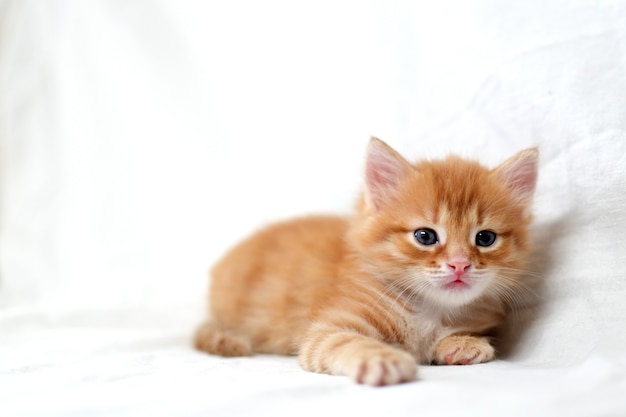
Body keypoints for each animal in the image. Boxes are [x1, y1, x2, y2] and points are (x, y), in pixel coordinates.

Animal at [194, 138, 536, 386]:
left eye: (485, 238)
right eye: (425, 236)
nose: (459, 264)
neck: (429, 309)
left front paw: (464, 343)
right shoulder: (328, 329)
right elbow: (345, 343)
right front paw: (383, 359)